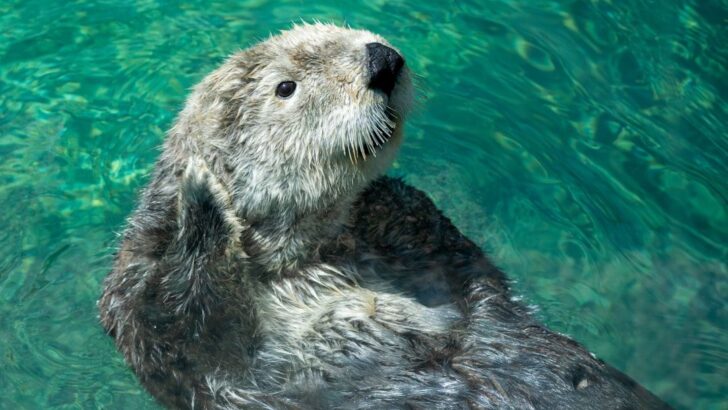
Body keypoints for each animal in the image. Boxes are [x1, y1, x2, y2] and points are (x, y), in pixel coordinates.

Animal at [99, 23, 670, 409]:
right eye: (285, 87)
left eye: (342, 31)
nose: (382, 60)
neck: (308, 257)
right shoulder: (153, 320)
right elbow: (184, 327)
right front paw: (201, 198)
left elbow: (471, 277)